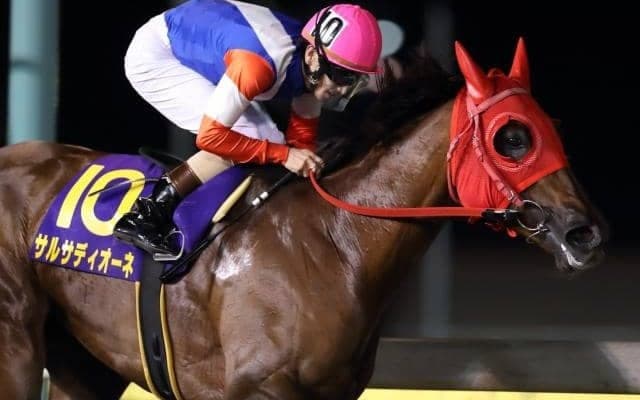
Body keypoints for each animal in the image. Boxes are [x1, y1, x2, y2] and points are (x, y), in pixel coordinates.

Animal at [0, 38, 605, 400]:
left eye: (551, 127)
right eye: (513, 138)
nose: (586, 233)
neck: (338, 247)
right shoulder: (258, 387)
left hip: (84, 362)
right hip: (18, 348)